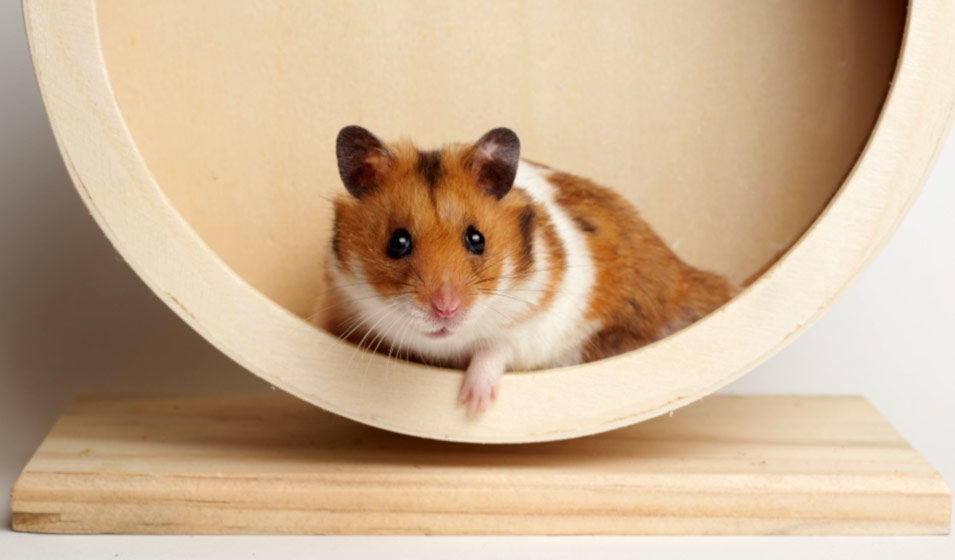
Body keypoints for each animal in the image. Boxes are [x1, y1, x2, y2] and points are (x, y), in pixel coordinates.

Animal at [318, 126, 737, 415]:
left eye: (477, 238)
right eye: (397, 242)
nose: (446, 309)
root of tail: (684, 275)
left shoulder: (533, 324)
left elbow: (493, 349)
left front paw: (472, 407)